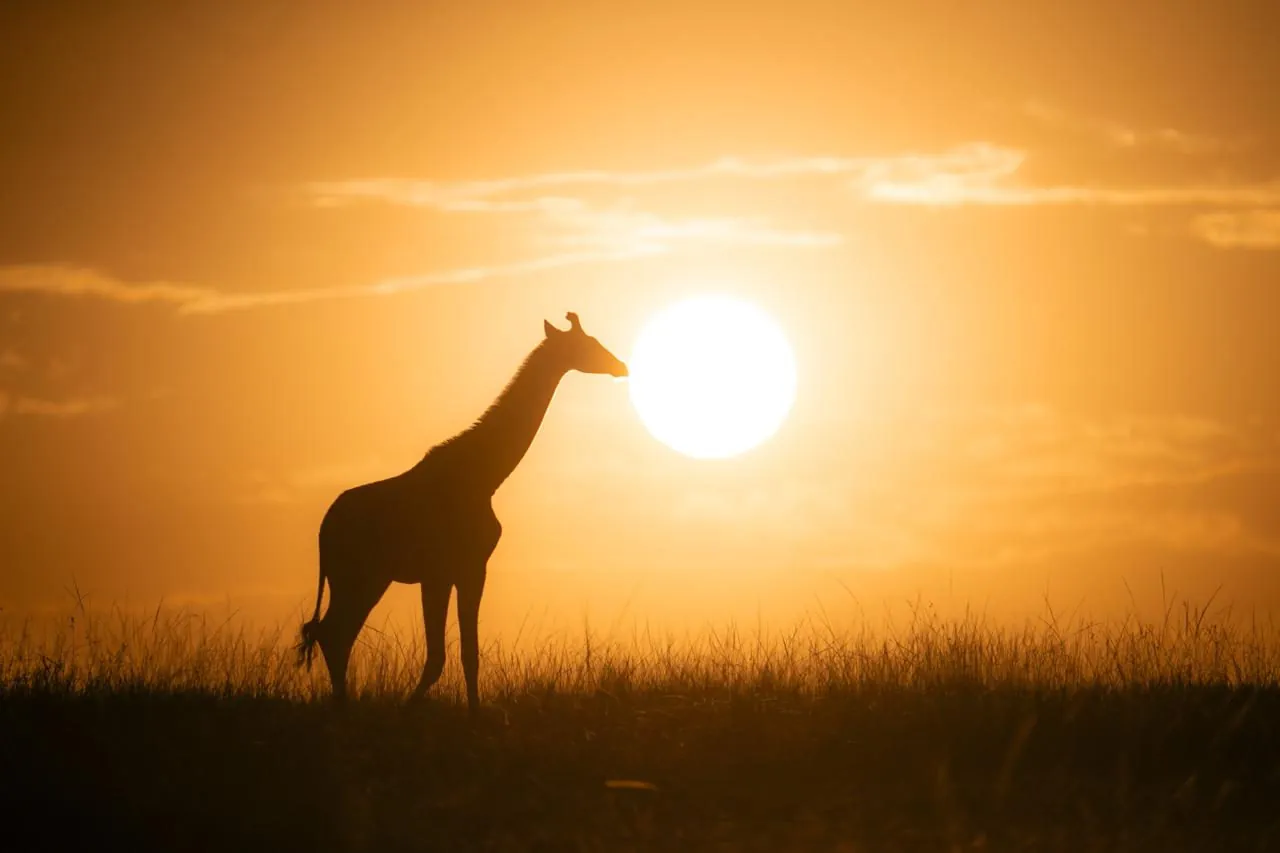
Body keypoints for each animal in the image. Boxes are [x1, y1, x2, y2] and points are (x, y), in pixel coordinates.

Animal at [296, 312, 628, 711]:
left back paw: (342, 705)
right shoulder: (446, 570)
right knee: (332, 632)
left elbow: (468, 653)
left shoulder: (465, 569)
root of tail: (323, 528)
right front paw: (415, 709)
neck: (486, 476)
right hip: (357, 575)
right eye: (587, 344)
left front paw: (471, 712)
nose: (621, 366)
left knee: (332, 631)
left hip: (364, 577)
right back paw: (342, 707)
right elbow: (441, 655)